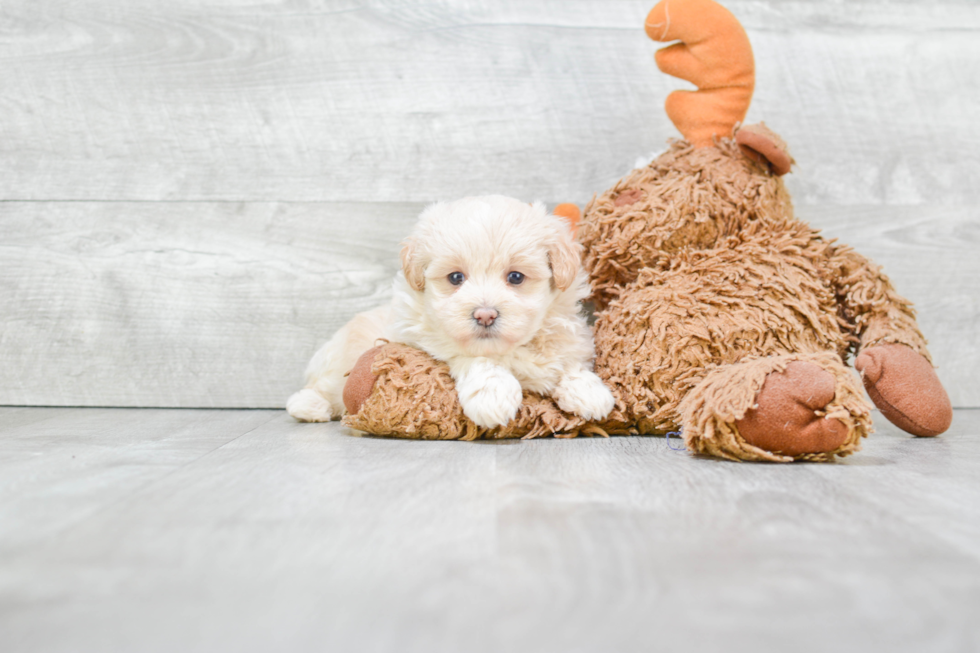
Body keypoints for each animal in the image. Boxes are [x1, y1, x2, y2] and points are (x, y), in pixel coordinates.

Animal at [288, 194, 616, 428]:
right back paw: (309, 406)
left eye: (515, 277)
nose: (485, 315)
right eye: (456, 278)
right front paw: (493, 397)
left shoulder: (567, 334)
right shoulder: (423, 338)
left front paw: (589, 392)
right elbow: (475, 358)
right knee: (326, 385)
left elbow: (570, 363)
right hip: (339, 359)